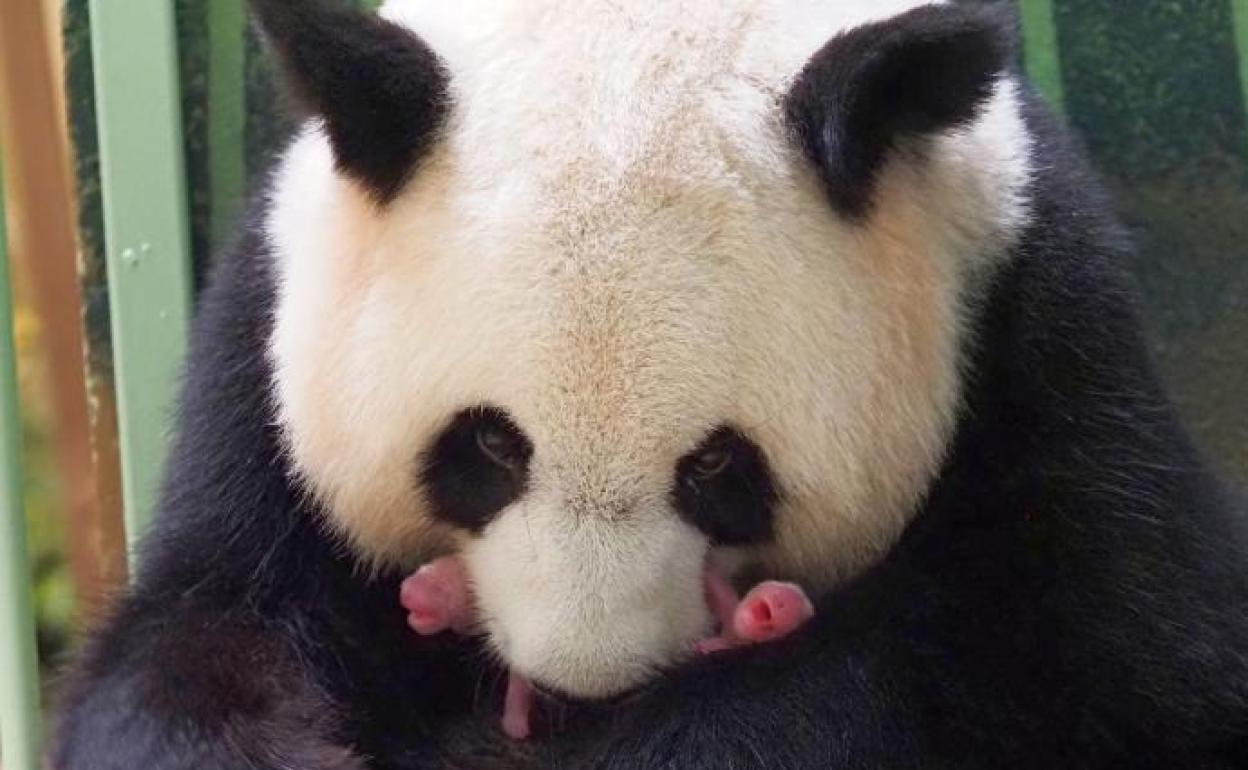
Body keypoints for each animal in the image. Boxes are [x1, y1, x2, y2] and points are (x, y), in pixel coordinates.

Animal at [54, 0, 1248, 767]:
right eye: (488, 447)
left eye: (719, 468)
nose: (583, 680)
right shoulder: (266, 353)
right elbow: (193, 639)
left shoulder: (1038, 335)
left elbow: (1109, 670)